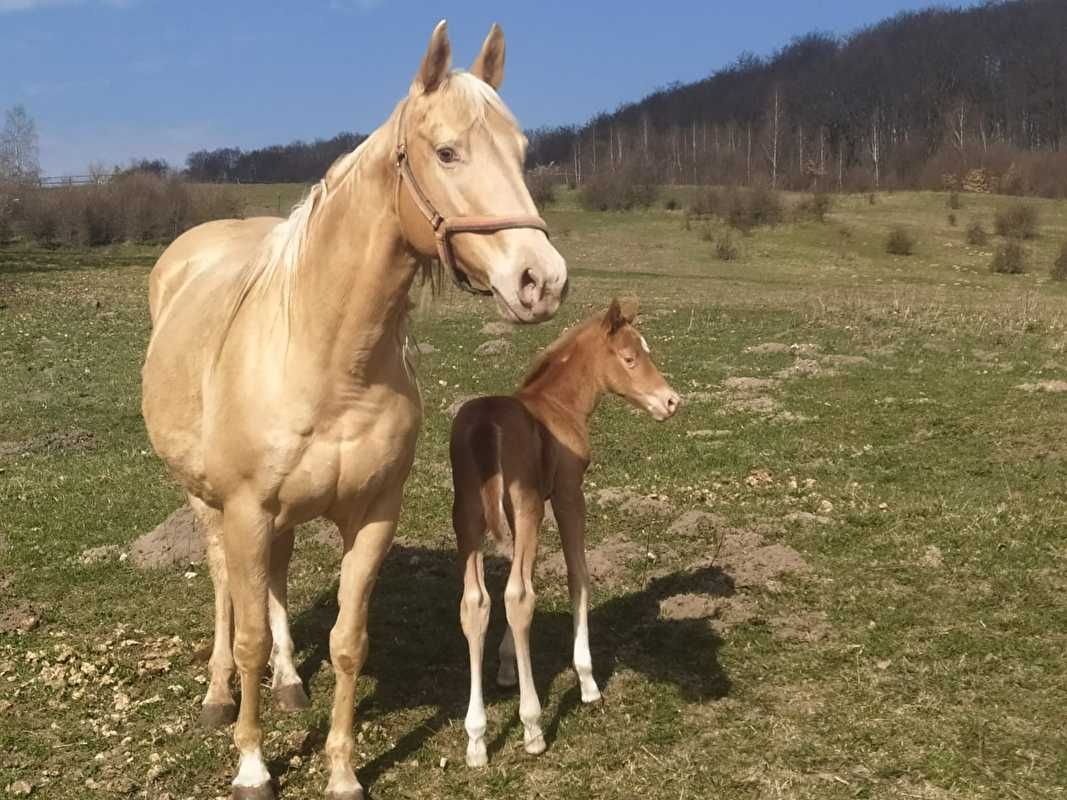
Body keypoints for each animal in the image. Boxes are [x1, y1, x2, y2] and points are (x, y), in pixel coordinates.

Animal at [141, 21, 567, 797]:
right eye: (447, 151)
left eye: (522, 152)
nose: (541, 281)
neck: (330, 360)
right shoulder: (245, 508)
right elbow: (247, 633)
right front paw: (252, 765)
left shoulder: (371, 516)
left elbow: (346, 641)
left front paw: (341, 770)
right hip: (206, 501)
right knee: (224, 585)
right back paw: (218, 695)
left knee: (275, 581)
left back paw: (288, 682)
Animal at [448, 302, 678, 772]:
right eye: (630, 358)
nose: (671, 401)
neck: (557, 404)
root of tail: (486, 427)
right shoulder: (569, 492)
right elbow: (578, 576)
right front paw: (587, 681)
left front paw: (505, 667)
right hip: (528, 508)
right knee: (519, 596)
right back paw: (533, 727)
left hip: (468, 518)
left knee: (475, 602)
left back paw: (476, 738)